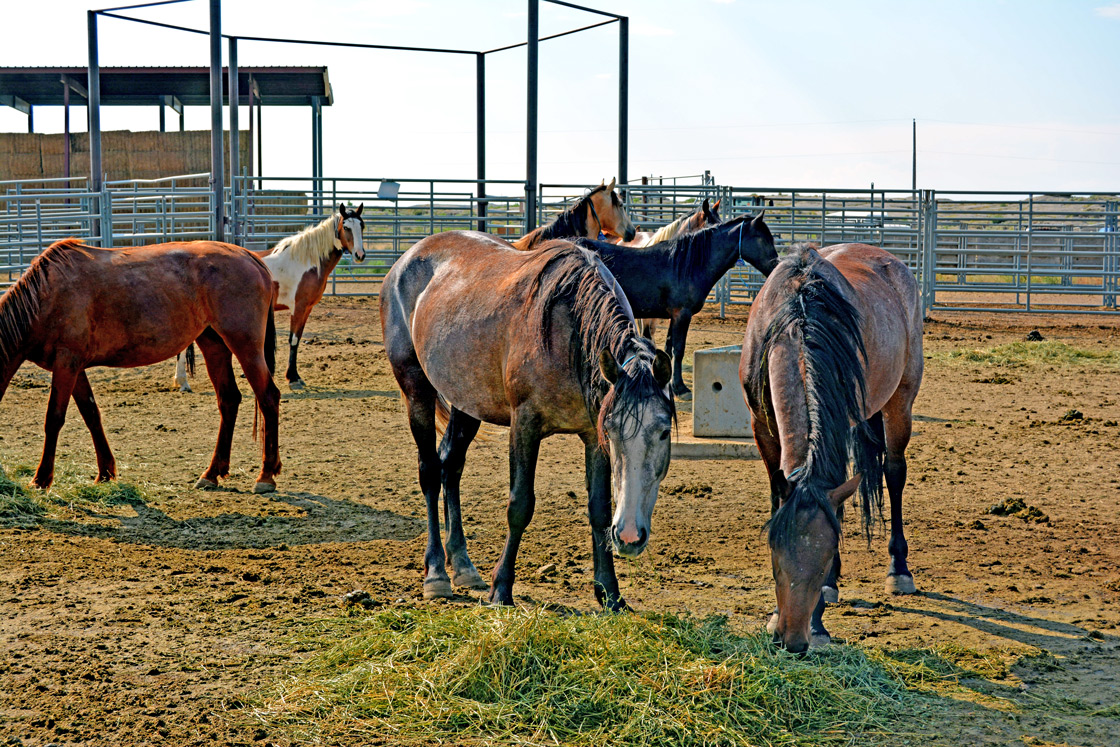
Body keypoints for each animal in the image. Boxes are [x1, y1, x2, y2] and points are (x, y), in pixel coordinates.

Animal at [0, 239, 281, 492]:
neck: (44, 299)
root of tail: (249, 257)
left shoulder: (66, 363)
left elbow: (54, 419)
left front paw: (41, 479)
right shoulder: (75, 368)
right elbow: (91, 414)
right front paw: (105, 472)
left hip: (245, 345)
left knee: (268, 397)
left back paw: (266, 476)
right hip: (214, 344)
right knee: (229, 400)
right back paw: (212, 473)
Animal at [174, 203, 365, 392]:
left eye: (362, 226)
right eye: (346, 227)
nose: (360, 255)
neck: (306, 263)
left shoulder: (307, 309)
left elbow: (297, 339)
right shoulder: (298, 308)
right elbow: (293, 340)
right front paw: (293, 378)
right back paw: (183, 382)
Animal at [381, 231, 675, 610]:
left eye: (664, 432)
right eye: (612, 432)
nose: (628, 537)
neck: (569, 334)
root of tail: (407, 259)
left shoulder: (590, 434)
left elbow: (598, 509)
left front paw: (610, 593)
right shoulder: (526, 425)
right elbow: (520, 504)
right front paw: (501, 589)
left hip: (467, 401)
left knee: (451, 466)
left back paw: (462, 565)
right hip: (416, 388)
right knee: (431, 471)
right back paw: (436, 574)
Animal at [576, 212, 778, 400]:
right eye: (763, 238)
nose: (776, 266)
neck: (685, 266)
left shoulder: (674, 317)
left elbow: (668, 349)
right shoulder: (682, 315)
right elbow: (678, 349)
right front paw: (681, 388)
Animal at [738, 242, 923, 653]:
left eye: (822, 559)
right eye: (775, 557)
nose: (792, 640)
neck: (796, 322)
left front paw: (821, 615)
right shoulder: (761, 427)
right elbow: (779, 495)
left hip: (900, 401)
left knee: (894, 473)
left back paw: (898, 569)